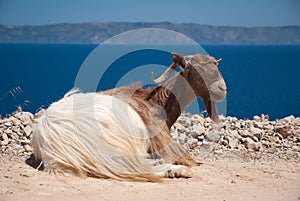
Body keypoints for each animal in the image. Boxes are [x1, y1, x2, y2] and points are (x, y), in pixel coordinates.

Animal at [31, 52, 226, 181]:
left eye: (216, 65)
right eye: (196, 69)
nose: (222, 89)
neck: (156, 104)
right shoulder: (164, 144)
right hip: (113, 147)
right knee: (136, 166)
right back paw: (178, 171)